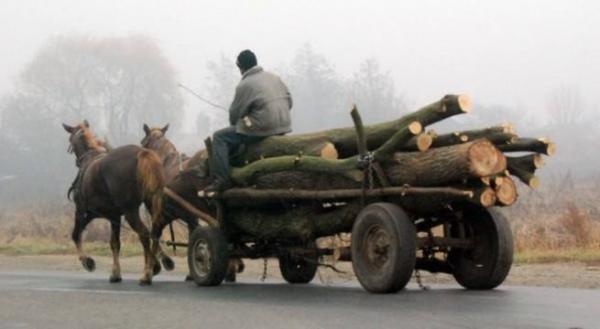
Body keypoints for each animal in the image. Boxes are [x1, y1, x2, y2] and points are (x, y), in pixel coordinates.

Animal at [62, 120, 166, 284]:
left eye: (70, 139)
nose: (77, 162)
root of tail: (142, 153)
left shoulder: (82, 210)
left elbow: (76, 234)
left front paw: (87, 261)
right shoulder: (113, 216)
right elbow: (115, 243)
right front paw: (116, 273)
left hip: (131, 212)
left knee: (144, 234)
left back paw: (147, 273)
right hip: (152, 204)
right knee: (155, 232)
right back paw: (152, 266)